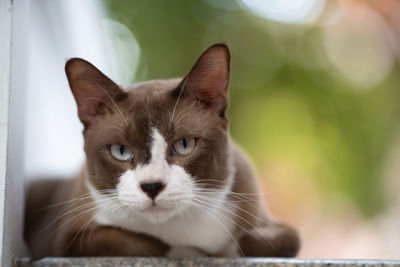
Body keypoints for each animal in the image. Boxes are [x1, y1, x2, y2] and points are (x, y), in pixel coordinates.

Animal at [24, 43, 300, 260]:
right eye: (121, 150)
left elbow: (269, 240)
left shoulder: (261, 215)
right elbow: (141, 243)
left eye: (184, 144)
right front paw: (188, 251)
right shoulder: (69, 238)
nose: (152, 186)